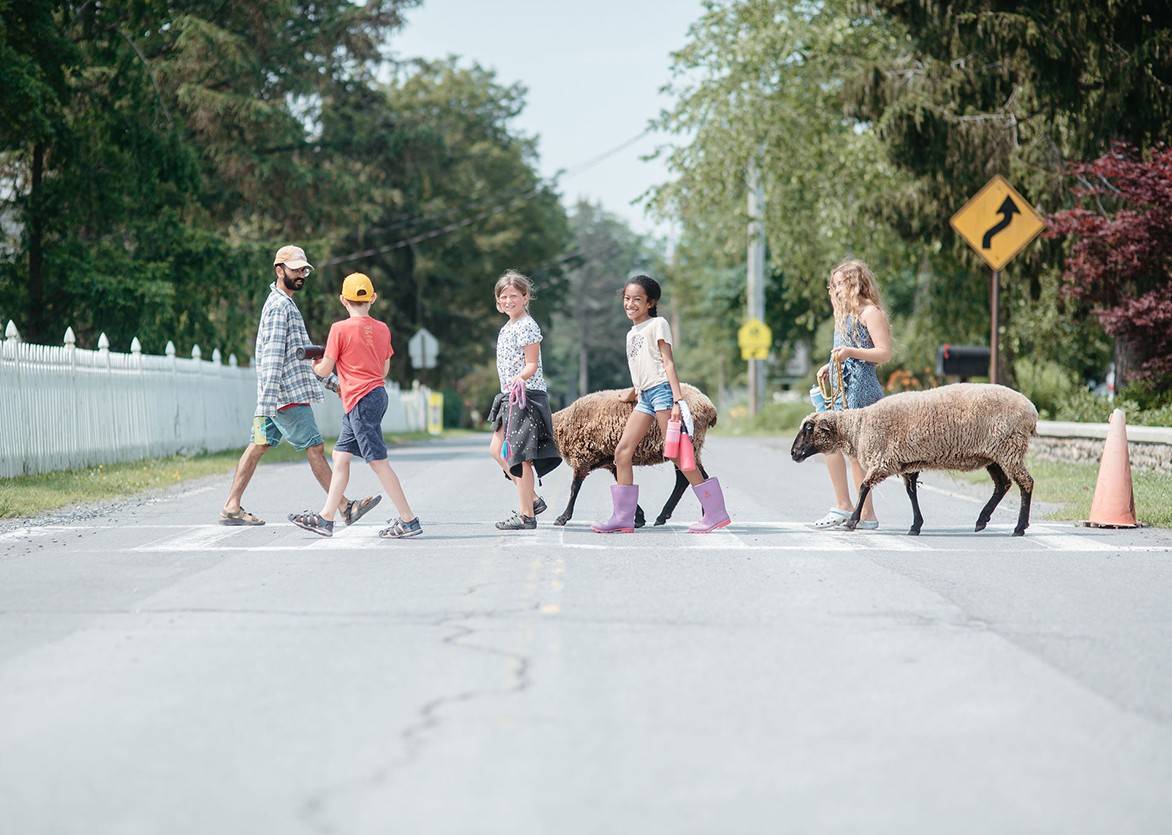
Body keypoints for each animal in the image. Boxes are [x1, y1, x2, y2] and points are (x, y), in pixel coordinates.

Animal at [553, 382, 717, 525]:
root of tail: (709, 407)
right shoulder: (611, 460)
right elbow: (622, 482)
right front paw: (639, 517)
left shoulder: (581, 457)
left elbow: (574, 487)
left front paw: (563, 517)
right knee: (687, 478)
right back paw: (664, 516)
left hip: (690, 444)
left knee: (696, 477)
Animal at [792, 382, 1040, 534]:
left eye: (809, 428)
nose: (793, 453)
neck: (858, 428)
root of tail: (1032, 411)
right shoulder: (905, 462)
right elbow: (911, 493)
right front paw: (915, 526)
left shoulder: (883, 460)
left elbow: (863, 486)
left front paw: (852, 522)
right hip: (993, 454)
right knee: (1003, 484)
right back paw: (982, 520)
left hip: (1009, 448)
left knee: (1025, 483)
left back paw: (1019, 527)